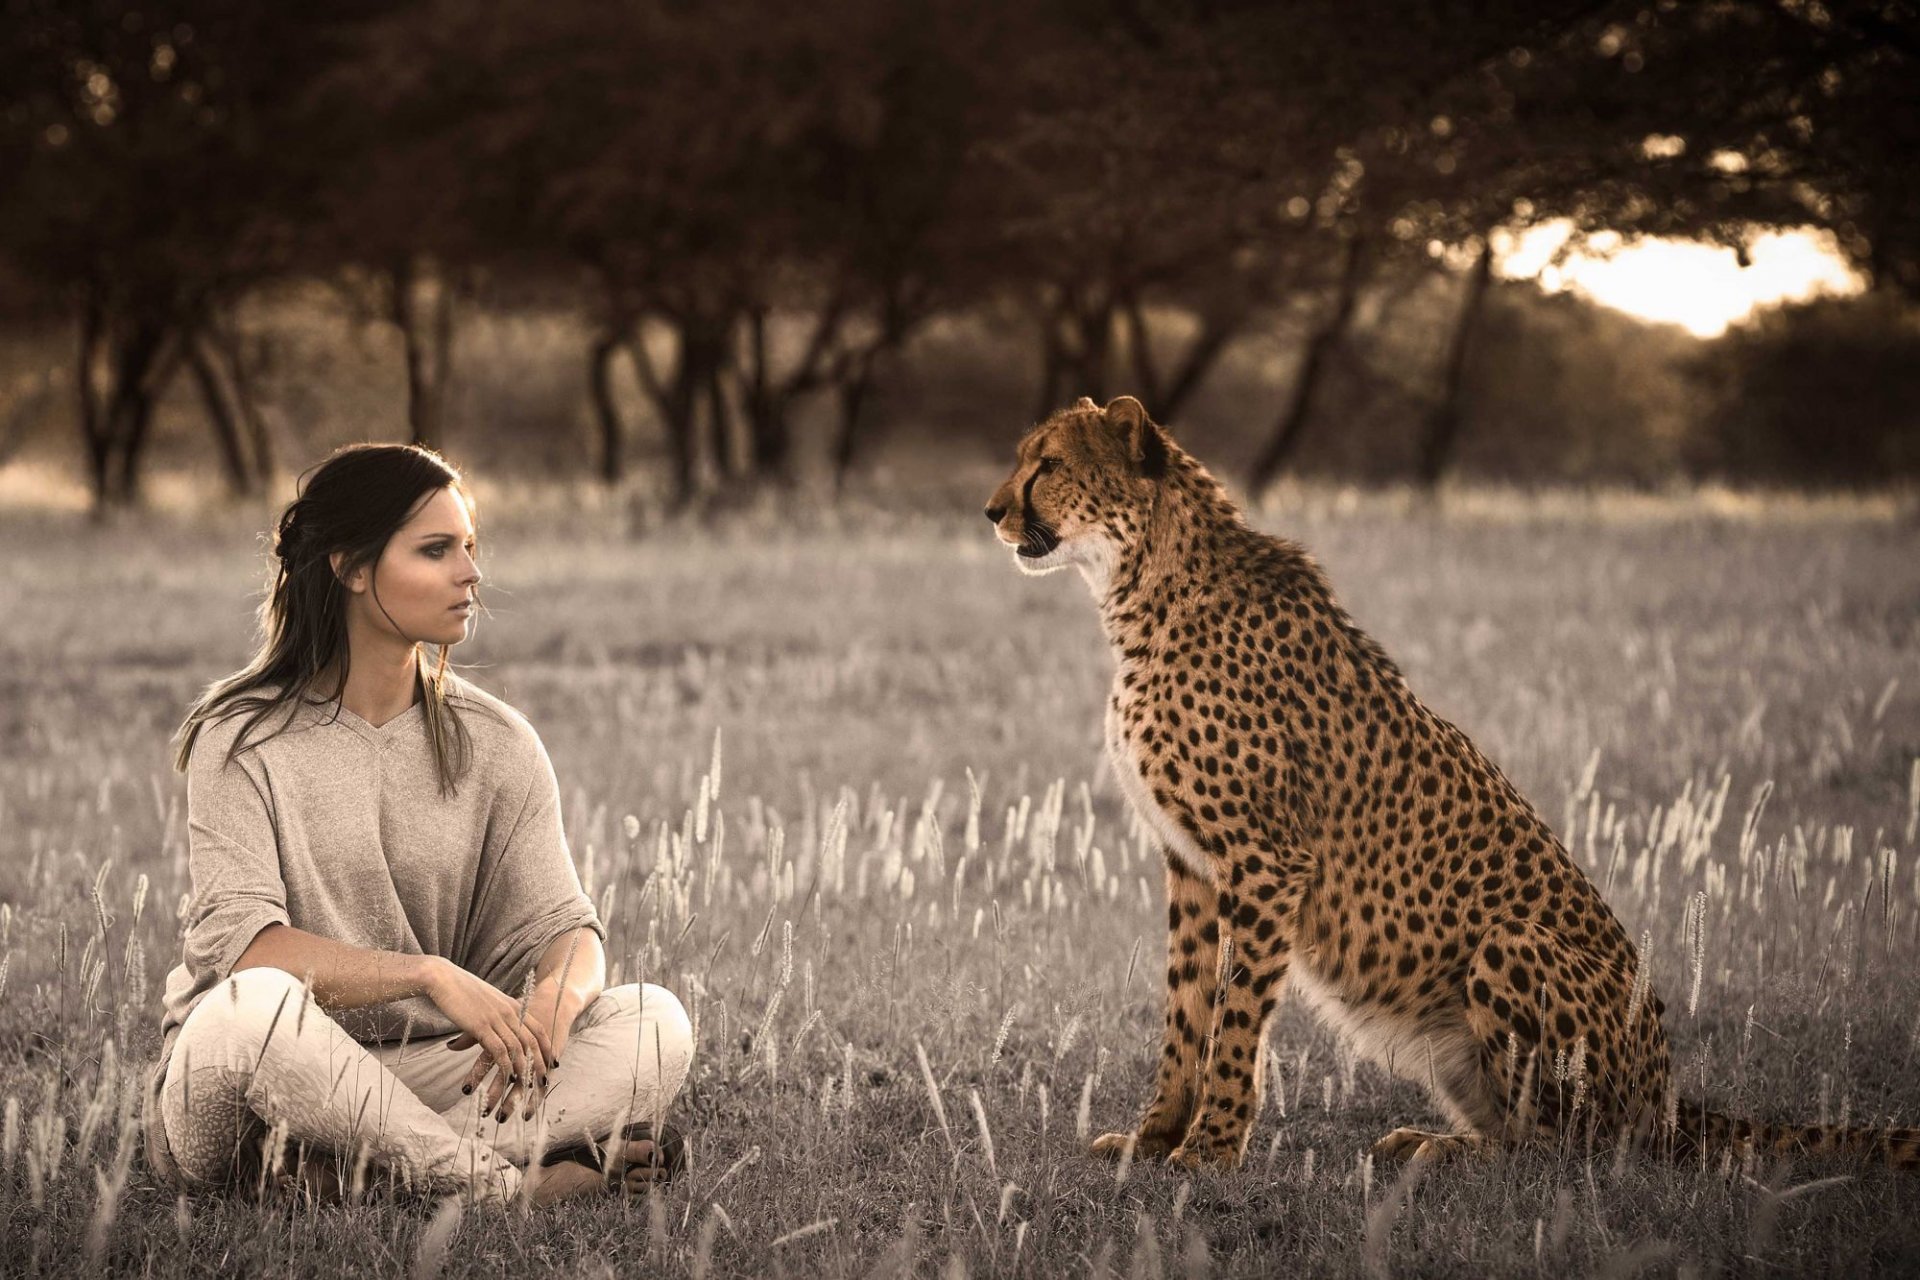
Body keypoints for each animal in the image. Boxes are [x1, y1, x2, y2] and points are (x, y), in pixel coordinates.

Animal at [990, 395, 1920, 1174]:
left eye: (1048, 463)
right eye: (1025, 458)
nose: (992, 509)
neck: (1141, 587)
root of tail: (1669, 1101)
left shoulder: (1264, 861)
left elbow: (1235, 1017)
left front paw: (1210, 1150)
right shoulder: (1189, 860)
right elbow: (1184, 1010)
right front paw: (1154, 1139)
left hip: (1514, 948)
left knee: (1564, 1153)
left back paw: (1448, 1152)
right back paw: (1427, 1140)